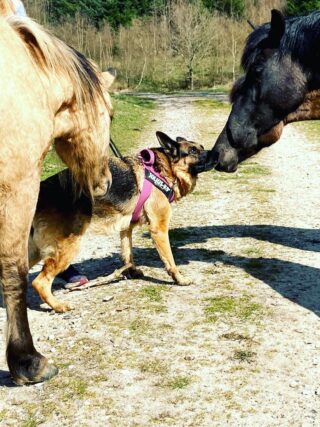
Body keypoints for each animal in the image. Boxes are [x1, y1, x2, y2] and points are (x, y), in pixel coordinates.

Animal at [28, 132, 211, 312]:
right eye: (193, 151)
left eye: (202, 147)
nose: (214, 154)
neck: (162, 169)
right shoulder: (159, 229)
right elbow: (170, 260)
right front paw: (179, 279)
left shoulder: (126, 228)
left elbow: (127, 254)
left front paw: (132, 271)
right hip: (67, 248)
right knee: (39, 282)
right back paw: (58, 305)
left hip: (35, 251)